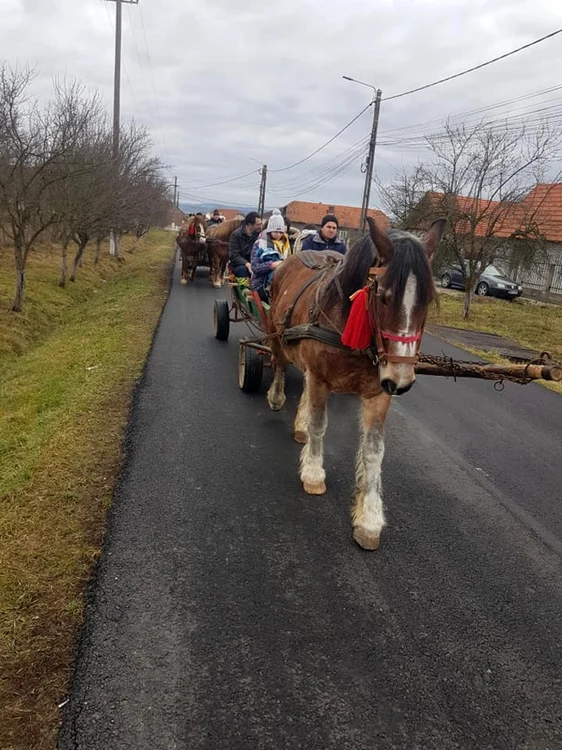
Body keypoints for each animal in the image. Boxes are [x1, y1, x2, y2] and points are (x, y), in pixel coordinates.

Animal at [264, 217, 444, 552]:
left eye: (426, 299)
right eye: (383, 296)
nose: (401, 379)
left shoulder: (379, 392)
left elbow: (374, 450)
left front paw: (369, 519)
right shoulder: (321, 378)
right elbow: (320, 425)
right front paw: (313, 472)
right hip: (277, 336)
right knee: (281, 365)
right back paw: (277, 397)